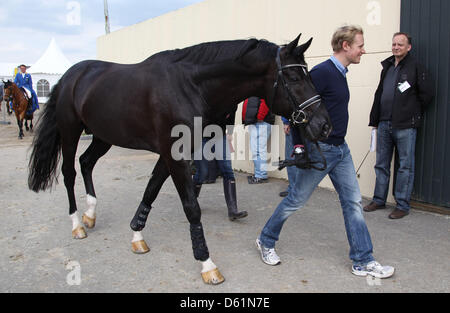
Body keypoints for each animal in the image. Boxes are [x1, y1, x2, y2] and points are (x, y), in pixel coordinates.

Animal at [28, 34, 330, 282]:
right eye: (294, 78)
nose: (324, 125)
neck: (189, 85)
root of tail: (70, 76)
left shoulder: (170, 154)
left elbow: (150, 190)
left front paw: (137, 235)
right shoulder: (175, 156)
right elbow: (191, 207)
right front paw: (207, 264)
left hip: (103, 135)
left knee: (86, 163)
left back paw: (90, 214)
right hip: (70, 132)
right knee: (69, 172)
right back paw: (77, 225)